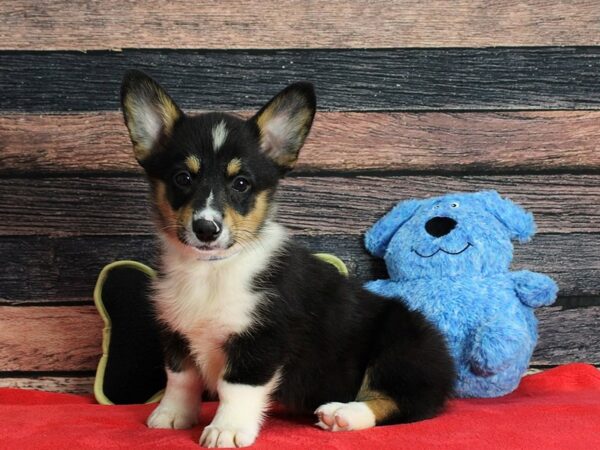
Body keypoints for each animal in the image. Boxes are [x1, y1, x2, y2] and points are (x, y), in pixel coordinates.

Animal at [119, 70, 452, 446]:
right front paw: (172, 415)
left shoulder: (262, 338)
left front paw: (226, 430)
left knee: (403, 401)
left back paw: (343, 414)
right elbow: (180, 378)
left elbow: (236, 387)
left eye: (241, 183)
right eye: (182, 178)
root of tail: (447, 363)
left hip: (399, 346)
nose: (206, 228)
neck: (211, 270)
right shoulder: (176, 332)